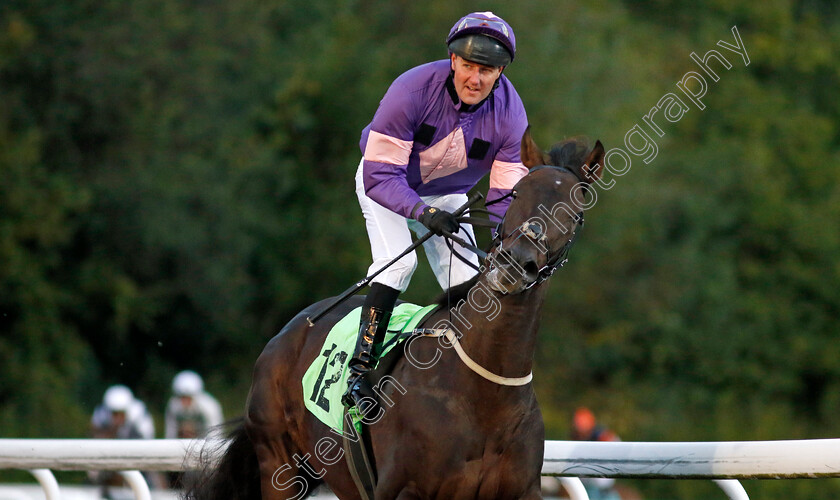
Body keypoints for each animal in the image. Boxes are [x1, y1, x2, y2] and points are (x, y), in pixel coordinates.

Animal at [184, 130, 604, 500]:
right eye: (517, 193)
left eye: (576, 213)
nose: (516, 262)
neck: (484, 393)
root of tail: (287, 331)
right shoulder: (402, 489)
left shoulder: (522, 490)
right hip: (280, 467)